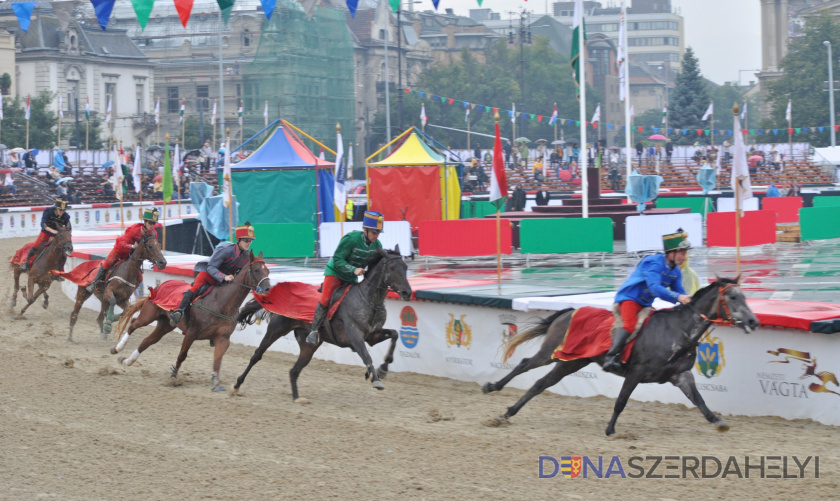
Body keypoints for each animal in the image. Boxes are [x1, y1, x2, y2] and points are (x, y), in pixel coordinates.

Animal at [110, 250, 270, 390]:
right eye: (256, 270)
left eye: (267, 271)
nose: (268, 289)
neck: (222, 303)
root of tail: (159, 285)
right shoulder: (192, 332)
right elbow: (182, 355)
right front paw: (173, 376)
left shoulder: (223, 338)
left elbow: (217, 360)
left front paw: (215, 382)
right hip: (148, 315)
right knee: (133, 324)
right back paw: (117, 348)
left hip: (165, 324)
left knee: (146, 341)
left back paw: (127, 361)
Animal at [231, 244, 412, 400]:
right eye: (392, 268)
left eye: (405, 267)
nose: (407, 292)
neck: (368, 300)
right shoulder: (355, 336)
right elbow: (366, 355)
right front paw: (375, 378)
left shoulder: (372, 336)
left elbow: (394, 334)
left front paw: (383, 369)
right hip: (276, 330)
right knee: (257, 356)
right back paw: (236, 386)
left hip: (309, 345)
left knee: (294, 371)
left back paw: (297, 398)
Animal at [480, 276, 760, 436]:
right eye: (733, 296)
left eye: (745, 296)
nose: (753, 321)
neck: (676, 330)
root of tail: (567, 311)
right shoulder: (635, 372)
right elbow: (621, 401)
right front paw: (610, 429)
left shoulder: (681, 375)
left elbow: (699, 400)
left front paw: (717, 421)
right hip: (552, 353)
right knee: (525, 365)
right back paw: (492, 387)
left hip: (571, 362)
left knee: (540, 384)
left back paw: (509, 412)